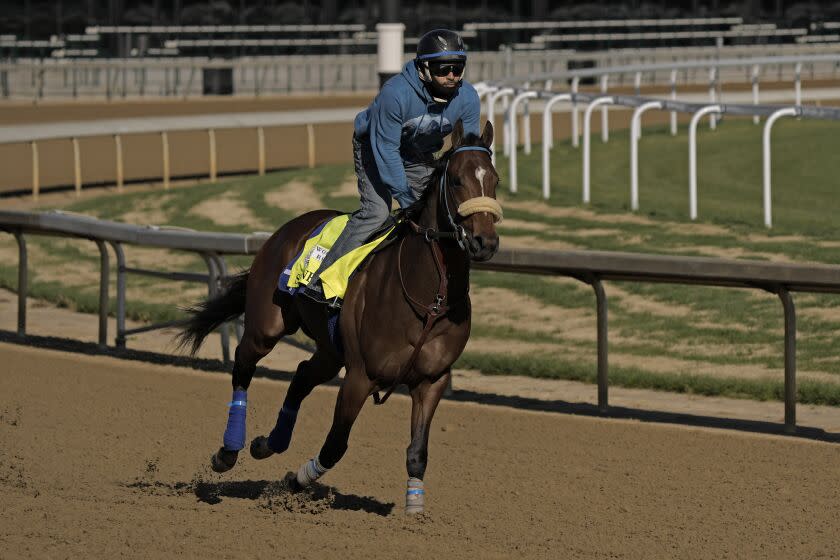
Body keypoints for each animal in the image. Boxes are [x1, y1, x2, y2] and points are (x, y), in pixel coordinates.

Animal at [176, 120, 498, 516]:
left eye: (495, 180)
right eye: (455, 180)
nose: (484, 242)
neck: (428, 299)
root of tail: (289, 227)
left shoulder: (432, 380)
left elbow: (417, 451)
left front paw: (414, 511)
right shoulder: (361, 376)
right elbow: (335, 445)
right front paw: (293, 481)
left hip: (331, 350)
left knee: (301, 375)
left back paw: (268, 444)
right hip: (267, 326)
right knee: (243, 366)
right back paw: (228, 451)